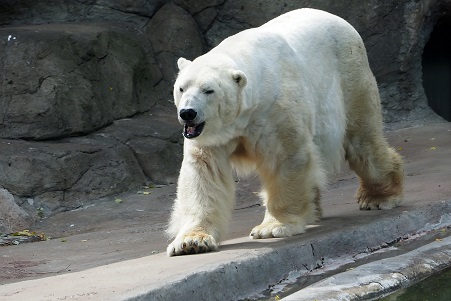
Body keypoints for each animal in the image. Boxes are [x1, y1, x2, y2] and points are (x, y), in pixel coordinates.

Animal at [167, 8, 406, 254]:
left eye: (209, 90)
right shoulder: (212, 135)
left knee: (362, 140)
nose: (188, 113)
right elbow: (203, 172)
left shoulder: (275, 111)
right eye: (181, 88)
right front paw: (191, 241)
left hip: (350, 75)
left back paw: (378, 197)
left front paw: (272, 228)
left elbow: (285, 158)